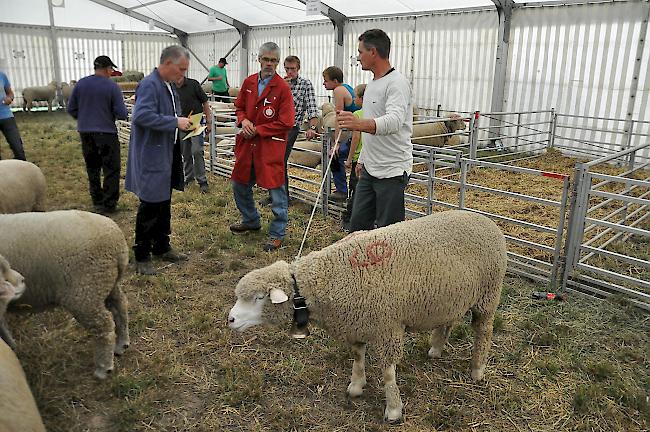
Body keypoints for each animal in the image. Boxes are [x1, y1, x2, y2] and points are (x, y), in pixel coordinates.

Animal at [0, 211, 130, 380]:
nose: (22, 280)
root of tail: (118, 243)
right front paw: (13, 349)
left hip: (84, 292)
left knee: (104, 326)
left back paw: (103, 368)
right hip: (105, 283)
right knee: (120, 306)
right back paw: (122, 344)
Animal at [228, 209, 506, 422]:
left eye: (259, 298)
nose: (230, 319)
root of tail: (485, 219)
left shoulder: (387, 327)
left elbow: (388, 372)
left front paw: (393, 409)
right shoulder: (357, 322)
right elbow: (358, 356)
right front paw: (356, 386)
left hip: (488, 295)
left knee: (484, 331)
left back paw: (477, 369)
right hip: (452, 296)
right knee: (448, 321)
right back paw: (436, 349)